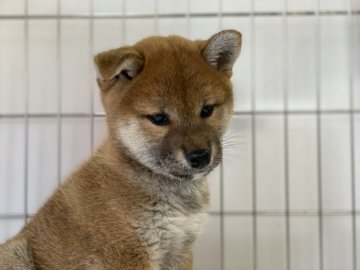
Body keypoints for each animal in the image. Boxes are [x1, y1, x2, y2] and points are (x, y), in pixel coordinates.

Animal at [1, 30, 242, 270]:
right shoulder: (128, 254)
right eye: (159, 118)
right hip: (17, 254)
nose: (200, 156)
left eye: (207, 110)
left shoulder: (180, 250)